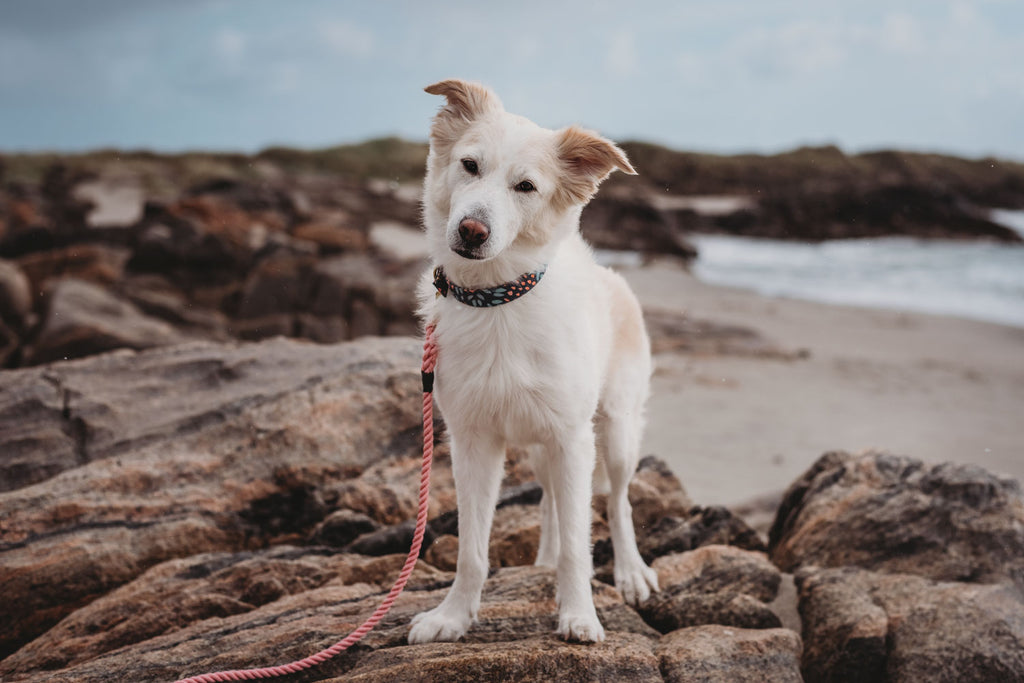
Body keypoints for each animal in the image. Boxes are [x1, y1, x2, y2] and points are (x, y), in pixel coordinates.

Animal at [407, 80, 655, 647]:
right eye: (469, 165)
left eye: (526, 187)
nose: (471, 230)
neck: (496, 299)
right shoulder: (473, 443)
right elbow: (472, 550)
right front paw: (453, 616)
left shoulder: (573, 438)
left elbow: (579, 545)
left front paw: (580, 615)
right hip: (545, 448)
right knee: (550, 503)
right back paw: (542, 561)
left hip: (614, 433)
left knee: (618, 501)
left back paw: (630, 572)